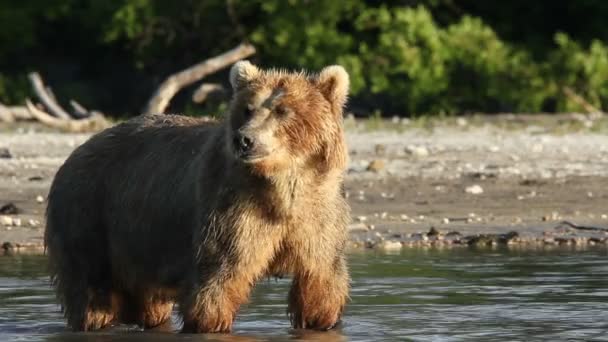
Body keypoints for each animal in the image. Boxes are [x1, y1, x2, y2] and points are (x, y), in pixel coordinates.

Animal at [44, 60, 352, 332]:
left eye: (282, 109)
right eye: (247, 109)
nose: (244, 139)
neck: (280, 186)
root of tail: (76, 152)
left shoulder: (317, 213)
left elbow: (320, 279)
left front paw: (320, 319)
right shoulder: (233, 210)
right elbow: (220, 276)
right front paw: (209, 322)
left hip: (143, 242)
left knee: (148, 302)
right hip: (90, 217)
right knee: (92, 290)